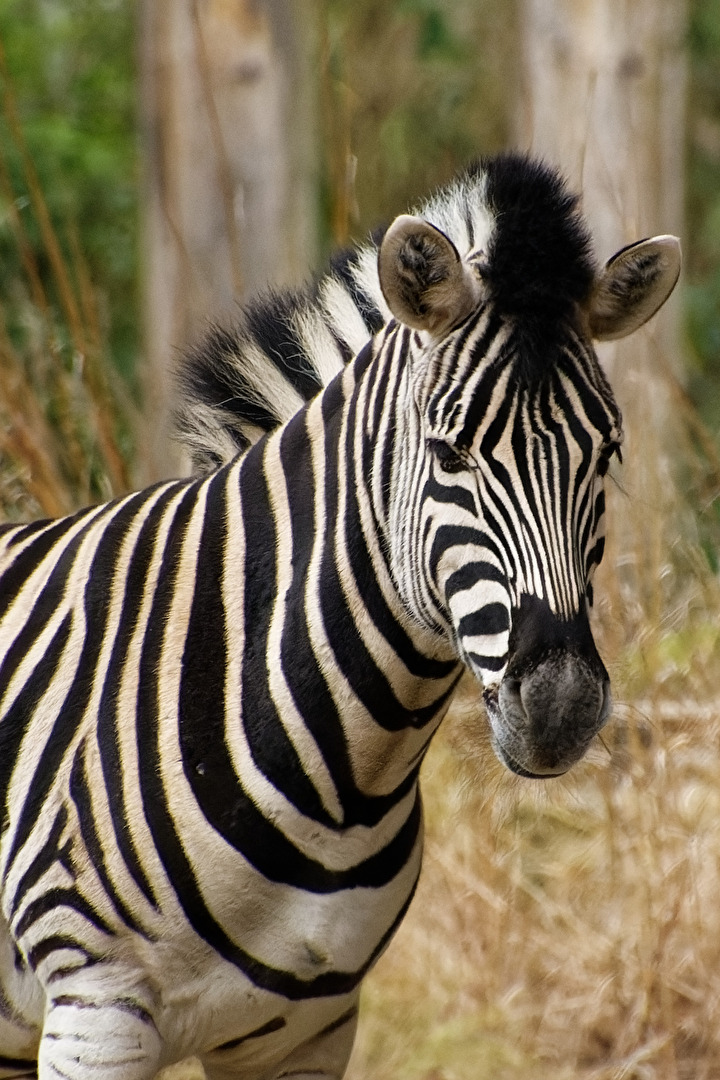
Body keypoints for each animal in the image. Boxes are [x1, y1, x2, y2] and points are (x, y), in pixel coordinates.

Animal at [0, 154, 679, 1080]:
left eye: (605, 456)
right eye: (449, 451)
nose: (560, 706)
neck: (344, 782)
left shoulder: (309, 1027)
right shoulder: (95, 1011)